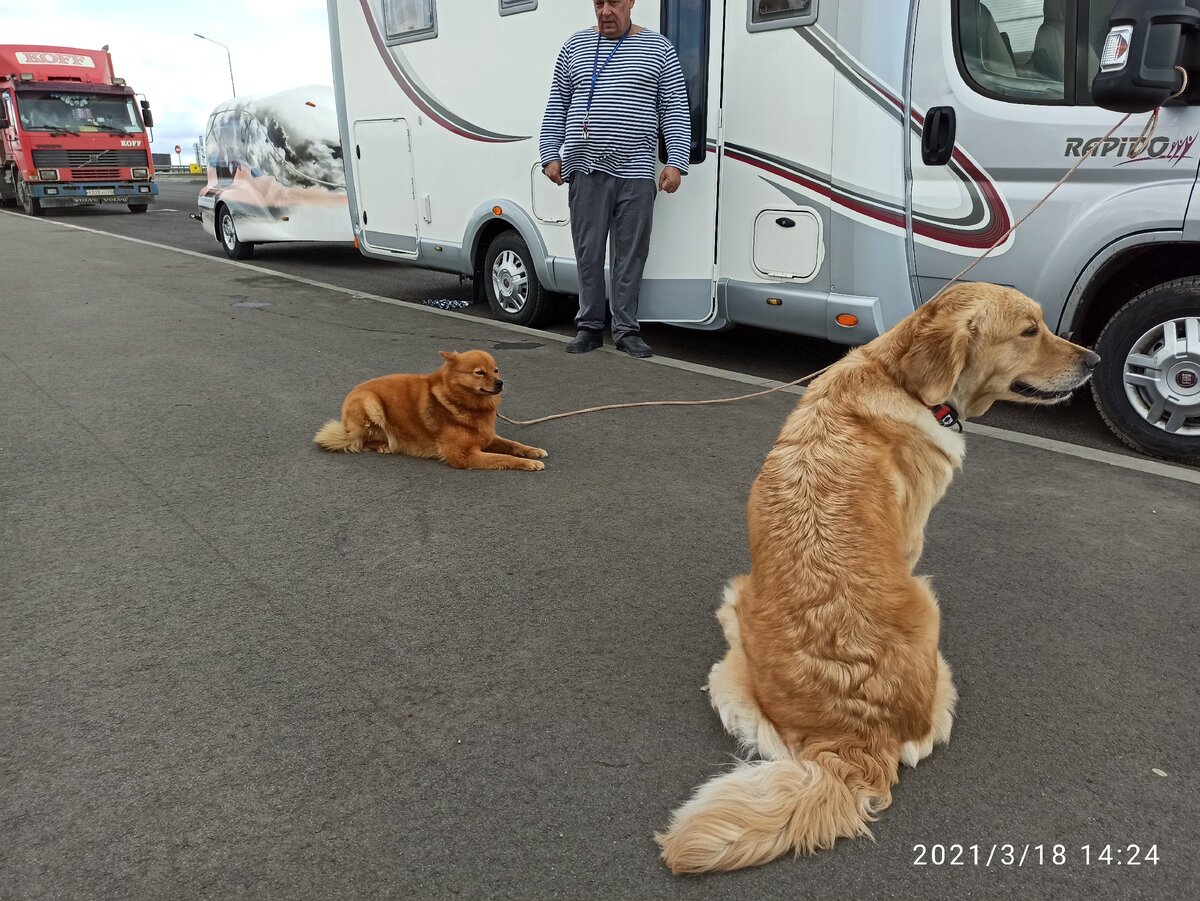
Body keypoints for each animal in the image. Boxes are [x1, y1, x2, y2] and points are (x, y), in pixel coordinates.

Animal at [314, 350, 549, 472]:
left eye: (496, 370)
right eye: (480, 372)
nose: (501, 383)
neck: (459, 402)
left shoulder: (487, 437)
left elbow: (512, 445)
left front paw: (533, 452)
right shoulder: (463, 456)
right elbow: (503, 458)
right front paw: (528, 463)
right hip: (371, 404)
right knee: (361, 440)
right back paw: (381, 445)